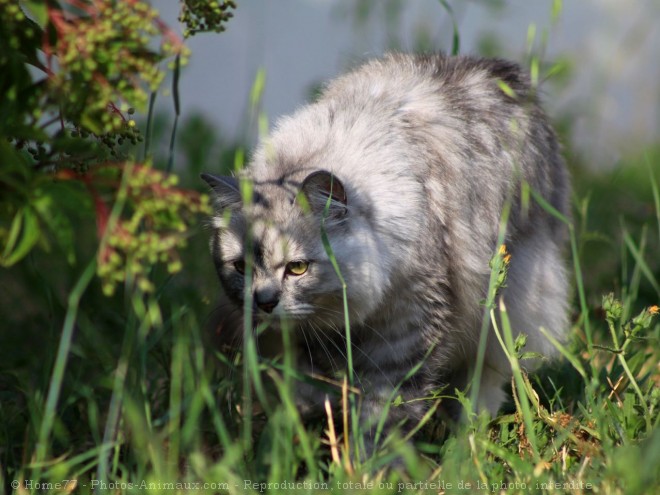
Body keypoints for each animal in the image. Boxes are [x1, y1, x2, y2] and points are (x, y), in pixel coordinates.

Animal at [201, 52, 568, 448]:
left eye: (297, 267)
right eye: (241, 267)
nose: (265, 302)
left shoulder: (406, 329)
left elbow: (385, 411)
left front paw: (373, 457)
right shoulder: (314, 340)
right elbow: (310, 393)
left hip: (508, 307)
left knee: (484, 382)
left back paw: (466, 438)